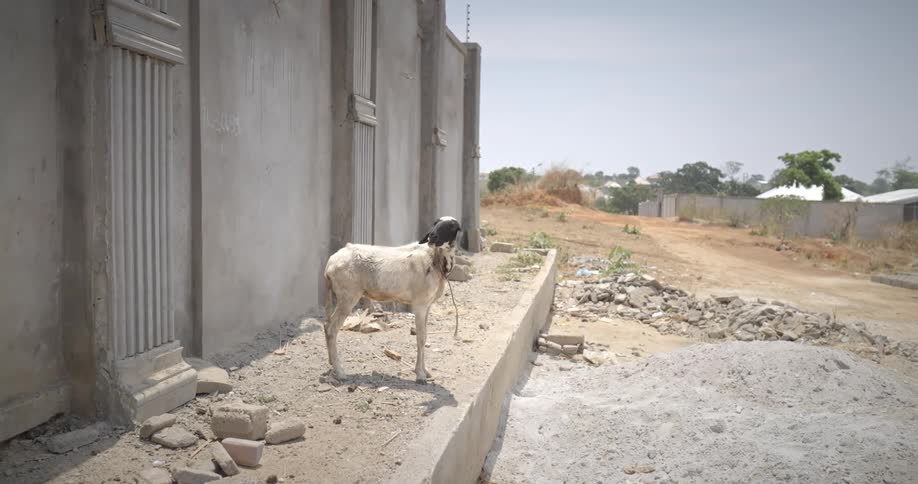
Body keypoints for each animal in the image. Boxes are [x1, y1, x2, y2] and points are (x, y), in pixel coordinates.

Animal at [323, 216, 462, 383]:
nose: (432, 236)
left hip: (337, 295)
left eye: (451, 226)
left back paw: (332, 363)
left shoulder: (427, 305)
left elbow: (425, 335)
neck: (434, 258)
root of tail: (330, 263)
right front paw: (420, 375)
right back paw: (340, 372)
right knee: (332, 329)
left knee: (326, 325)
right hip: (348, 295)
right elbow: (421, 338)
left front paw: (425, 371)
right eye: (435, 223)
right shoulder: (419, 304)